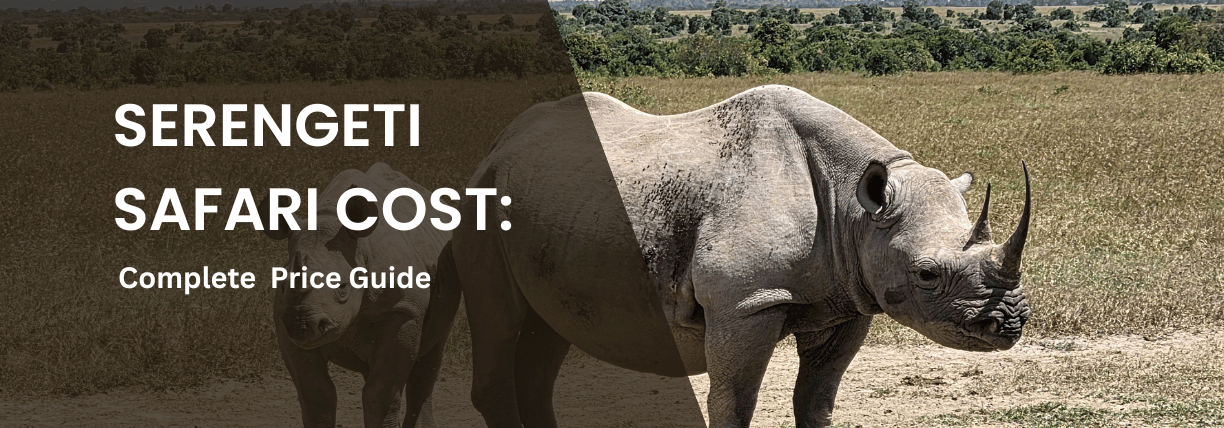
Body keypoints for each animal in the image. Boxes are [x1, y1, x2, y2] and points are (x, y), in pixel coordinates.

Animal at [259, 162, 460, 428]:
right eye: (282, 286)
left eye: (343, 287)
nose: (302, 323)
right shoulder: (283, 321)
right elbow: (316, 394)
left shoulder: (403, 309)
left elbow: (381, 393)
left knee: (431, 356)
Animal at [450, 86, 1032, 427]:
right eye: (927, 274)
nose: (1009, 324)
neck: (854, 207)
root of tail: (497, 147)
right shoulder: (746, 302)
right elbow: (733, 402)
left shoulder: (849, 299)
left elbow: (817, 399)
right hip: (482, 205)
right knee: (502, 322)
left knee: (544, 332)